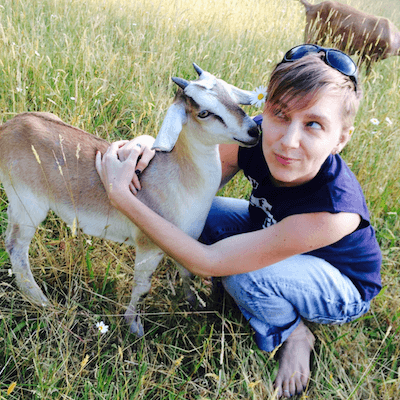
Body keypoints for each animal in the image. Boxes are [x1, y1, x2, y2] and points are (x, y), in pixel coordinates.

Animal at [0, 64, 260, 336]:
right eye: (204, 112)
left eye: (231, 96)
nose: (253, 131)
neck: (177, 176)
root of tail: (9, 127)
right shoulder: (148, 247)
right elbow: (142, 288)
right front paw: (134, 327)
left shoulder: (186, 242)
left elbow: (187, 273)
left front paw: (194, 302)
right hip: (29, 206)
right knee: (16, 247)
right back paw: (41, 301)